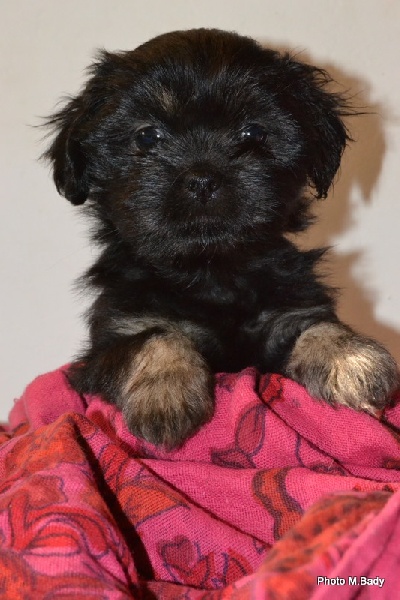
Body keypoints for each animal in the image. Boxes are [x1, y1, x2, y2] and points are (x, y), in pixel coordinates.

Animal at [44, 28, 399, 448]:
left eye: (253, 133)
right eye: (147, 137)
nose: (202, 179)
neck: (211, 271)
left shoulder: (288, 313)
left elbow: (317, 326)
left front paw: (351, 358)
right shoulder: (111, 341)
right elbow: (156, 338)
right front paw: (165, 393)